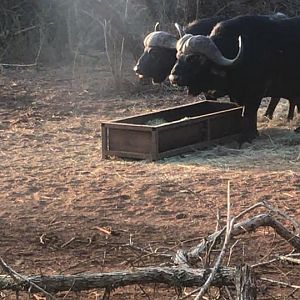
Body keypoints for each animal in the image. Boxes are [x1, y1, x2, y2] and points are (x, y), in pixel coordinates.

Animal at [170, 14, 300, 139]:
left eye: (194, 58)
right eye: (178, 56)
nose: (173, 78)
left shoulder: (255, 93)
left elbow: (249, 113)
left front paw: (248, 136)